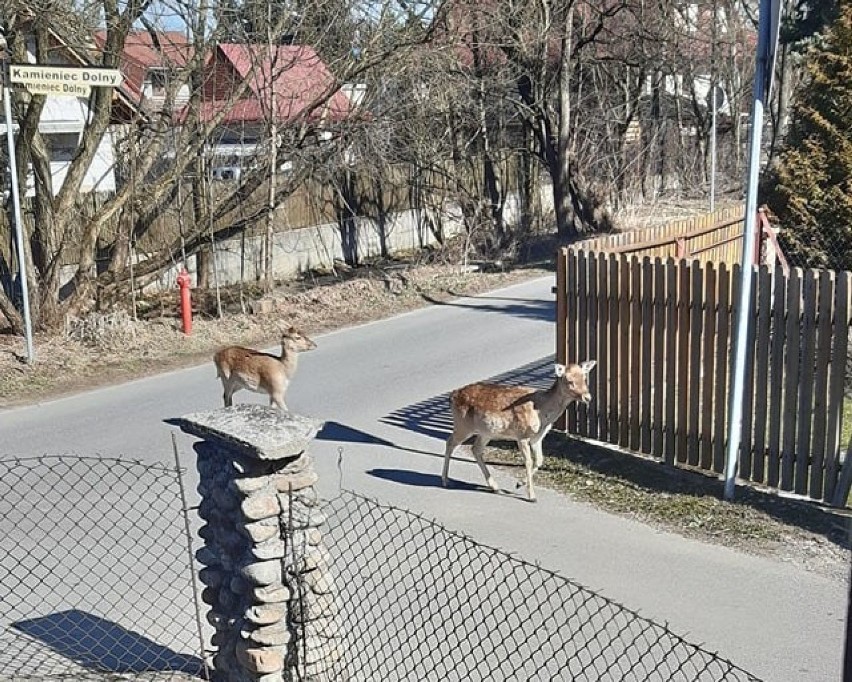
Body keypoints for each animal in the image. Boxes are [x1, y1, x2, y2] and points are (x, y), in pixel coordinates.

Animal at [442, 362, 596, 500]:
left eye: (584, 378)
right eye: (569, 381)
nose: (588, 397)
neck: (542, 413)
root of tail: (452, 396)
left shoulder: (537, 438)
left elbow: (539, 460)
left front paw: (519, 484)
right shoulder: (521, 435)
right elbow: (528, 461)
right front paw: (532, 496)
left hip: (485, 432)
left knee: (475, 449)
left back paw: (495, 487)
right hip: (463, 425)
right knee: (450, 443)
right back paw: (445, 480)